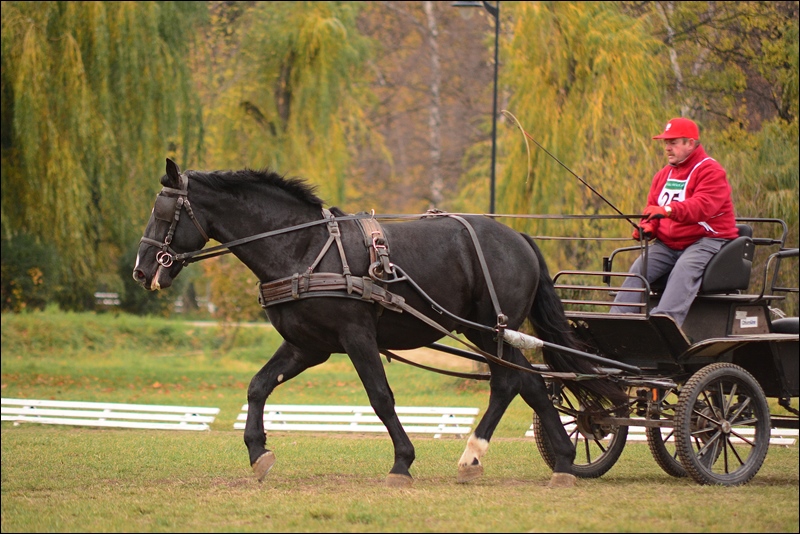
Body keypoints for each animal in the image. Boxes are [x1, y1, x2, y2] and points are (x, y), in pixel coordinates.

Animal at [133, 158, 624, 490]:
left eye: (162, 214)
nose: (141, 269)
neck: (304, 246)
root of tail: (517, 236)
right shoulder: (307, 346)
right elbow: (258, 386)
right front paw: (259, 452)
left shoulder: (356, 337)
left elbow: (381, 398)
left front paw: (402, 462)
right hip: (488, 331)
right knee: (526, 384)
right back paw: (555, 460)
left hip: (490, 327)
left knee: (512, 383)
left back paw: (496, 455)